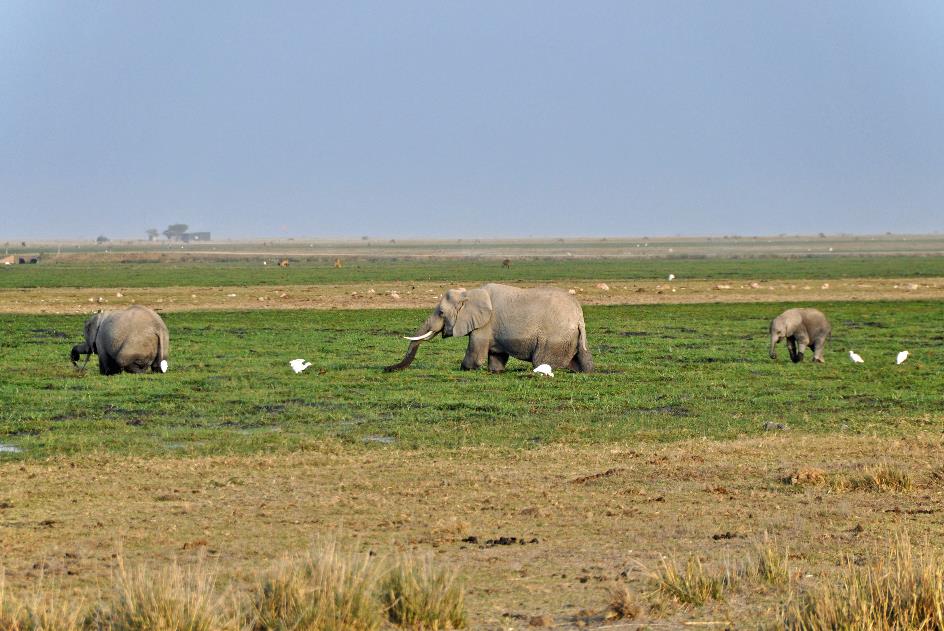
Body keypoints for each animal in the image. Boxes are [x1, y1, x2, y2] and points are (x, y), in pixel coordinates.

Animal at [382, 286, 592, 376]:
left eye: (441, 313)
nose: (386, 369)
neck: (468, 293)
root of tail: (579, 318)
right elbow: (496, 357)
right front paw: (496, 371)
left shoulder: (484, 325)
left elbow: (475, 355)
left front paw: (465, 369)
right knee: (584, 360)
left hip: (554, 337)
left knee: (541, 362)